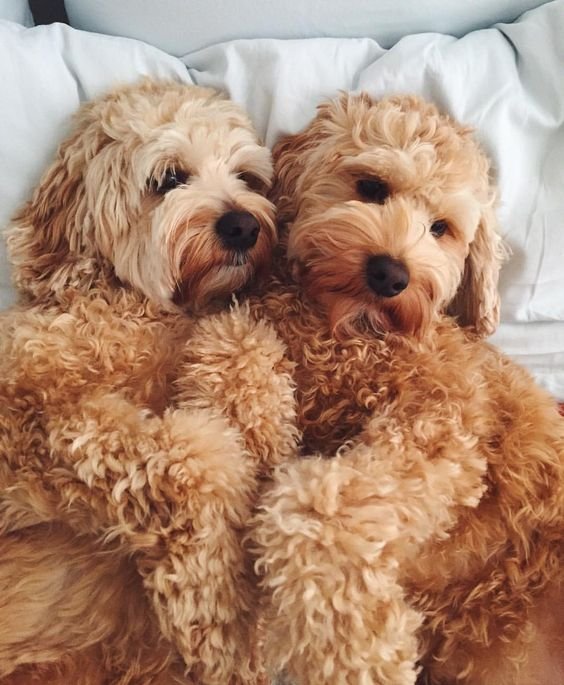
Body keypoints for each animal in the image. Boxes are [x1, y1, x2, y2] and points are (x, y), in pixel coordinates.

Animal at [0, 80, 298, 684]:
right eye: (168, 179)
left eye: (246, 177)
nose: (244, 225)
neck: (139, 308)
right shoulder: (37, 411)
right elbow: (190, 461)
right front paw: (225, 612)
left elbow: (243, 337)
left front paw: (264, 440)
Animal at [182, 95, 564, 684]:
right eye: (371, 187)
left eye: (441, 228)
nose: (391, 274)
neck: (347, 337)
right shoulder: (252, 326)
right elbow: (235, 349)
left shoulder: (442, 428)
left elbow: (323, 506)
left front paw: (357, 652)